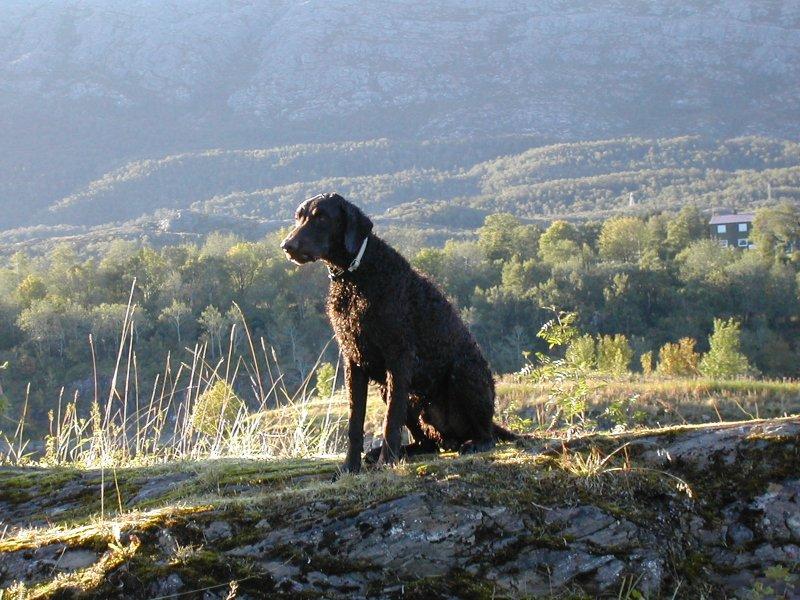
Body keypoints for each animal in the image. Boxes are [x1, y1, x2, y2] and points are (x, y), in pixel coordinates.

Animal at [282, 192, 516, 474]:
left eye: (322, 218)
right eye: (299, 217)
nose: (287, 245)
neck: (357, 276)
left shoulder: (399, 357)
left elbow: (390, 421)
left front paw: (388, 461)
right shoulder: (353, 361)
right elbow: (354, 422)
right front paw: (350, 466)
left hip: (463, 373)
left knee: (485, 433)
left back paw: (474, 444)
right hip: (401, 395)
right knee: (428, 443)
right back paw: (395, 452)